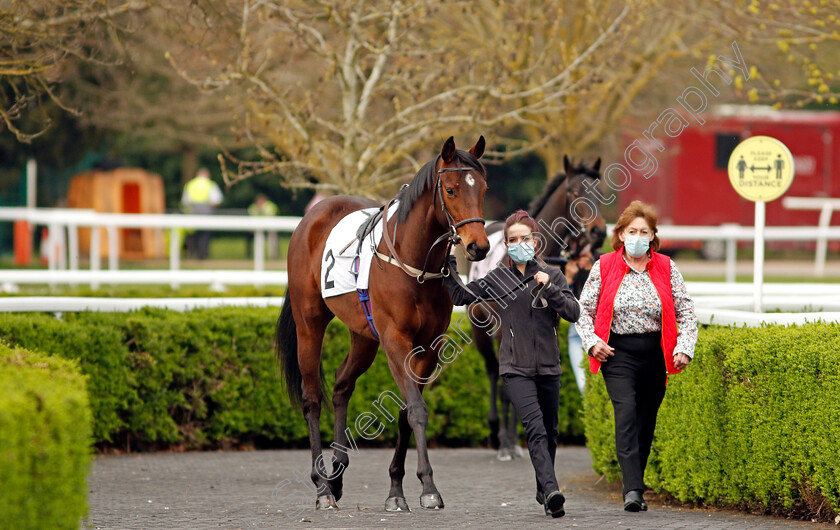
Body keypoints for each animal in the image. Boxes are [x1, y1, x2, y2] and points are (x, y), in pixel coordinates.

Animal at [278, 137, 486, 512]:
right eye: (450, 189)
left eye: (483, 188)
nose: (479, 246)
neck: (415, 264)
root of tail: (311, 217)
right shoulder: (395, 340)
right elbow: (416, 409)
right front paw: (428, 486)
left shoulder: (428, 346)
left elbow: (406, 411)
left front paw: (396, 489)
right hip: (309, 323)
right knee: (312, 398)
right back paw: (322, 486)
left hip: (363, 336)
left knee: (341, 385)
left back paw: (337, 474)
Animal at [470, 154, 608, 458]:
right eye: (574, 193)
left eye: (599, 193)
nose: (599, 232)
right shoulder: (503, 332)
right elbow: (507, 383)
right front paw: (507, 443)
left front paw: (516, 440)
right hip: (480, 331)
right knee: (491, 372)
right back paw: (496, 433)